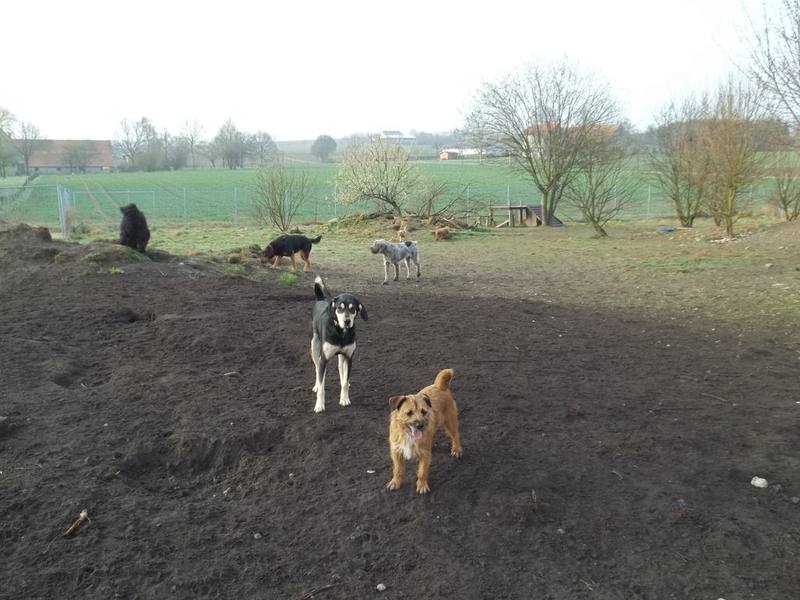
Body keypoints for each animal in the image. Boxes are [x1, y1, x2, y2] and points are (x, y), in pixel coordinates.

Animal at [310, 276, 368, 413]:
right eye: (339, 308)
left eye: (353, 309)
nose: (347, 321)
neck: (341, 333)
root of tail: (321, 299)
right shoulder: (324, 359)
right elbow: (322, 387)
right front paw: (319, 405)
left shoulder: (349, 357)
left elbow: (345, 382)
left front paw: (344, 398)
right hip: (314, 347)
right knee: (316, 367)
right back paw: (315, 385)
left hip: (341, 356)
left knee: (341, 369)